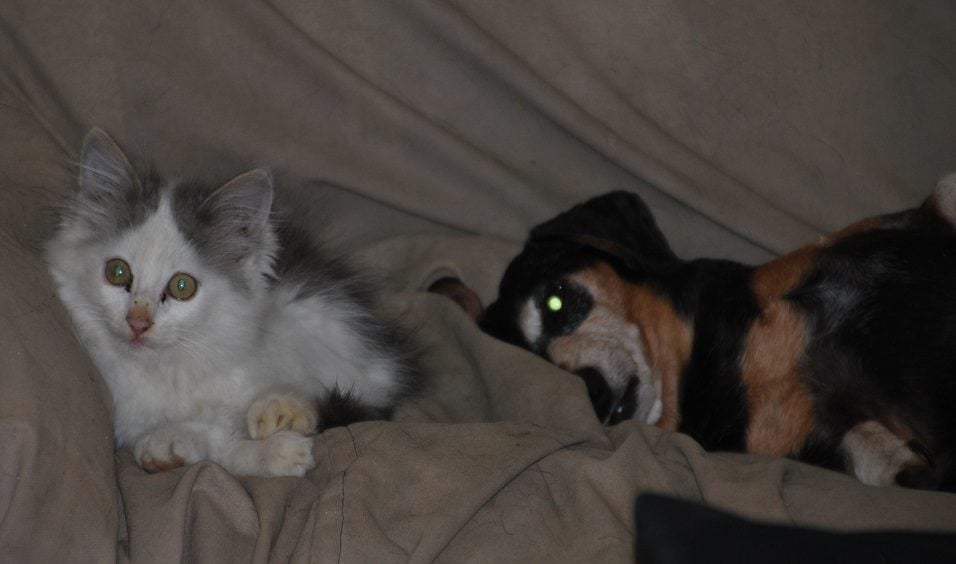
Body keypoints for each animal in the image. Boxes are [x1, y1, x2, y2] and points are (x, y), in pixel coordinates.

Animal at [45, 128, 419, 477]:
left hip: (322, 318)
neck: (169, 367)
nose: (138, 322)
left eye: (182, 286)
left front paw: (276, 426)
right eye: (117, 272)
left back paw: (282, 408)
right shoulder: (128, 419)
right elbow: (219, 447)